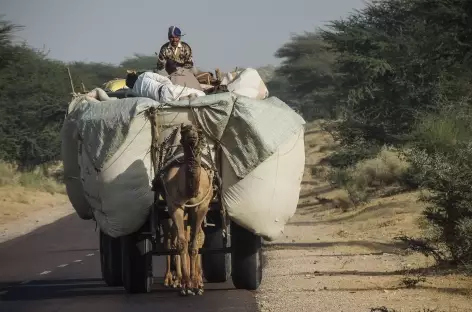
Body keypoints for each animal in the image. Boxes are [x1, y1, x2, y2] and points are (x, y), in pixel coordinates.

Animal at [155, 123, 214, 294]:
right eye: (185, 130)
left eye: (199, 131)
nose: (193, 138)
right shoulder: (174, 206)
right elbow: (181, 243)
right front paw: (185, 284)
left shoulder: (201, 206)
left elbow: (195, 243)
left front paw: (196, 284)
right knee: (170, 242)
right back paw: (170, 279)